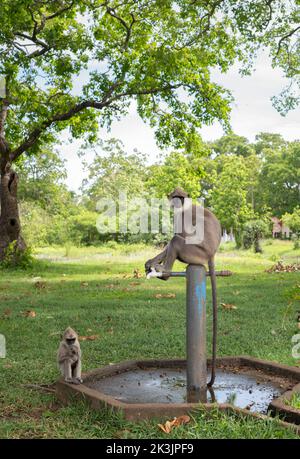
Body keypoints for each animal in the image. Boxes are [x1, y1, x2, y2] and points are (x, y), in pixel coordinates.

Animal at [146, 188, 223, 388]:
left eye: (180, 197)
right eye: (175, 197)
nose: (177, 202)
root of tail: (211, 254)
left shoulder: (182, 216)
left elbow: (178, 236)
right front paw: (151, 262)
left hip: (195, 253)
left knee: (177, 240)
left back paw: (165, 273)